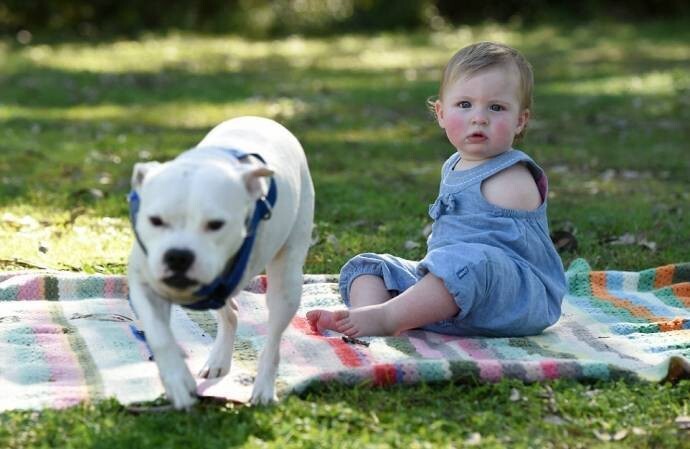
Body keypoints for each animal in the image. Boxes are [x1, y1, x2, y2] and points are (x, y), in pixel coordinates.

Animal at [127, 114, 314, 406]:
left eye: (216, 224)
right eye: (155, 220)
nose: (178, 255)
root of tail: (261, 118)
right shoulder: (145, 286)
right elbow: (159, 335)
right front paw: (177, 381)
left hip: (287, 280)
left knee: (272, 338)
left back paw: (263, 387)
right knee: (231, 315)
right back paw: (218, 361)